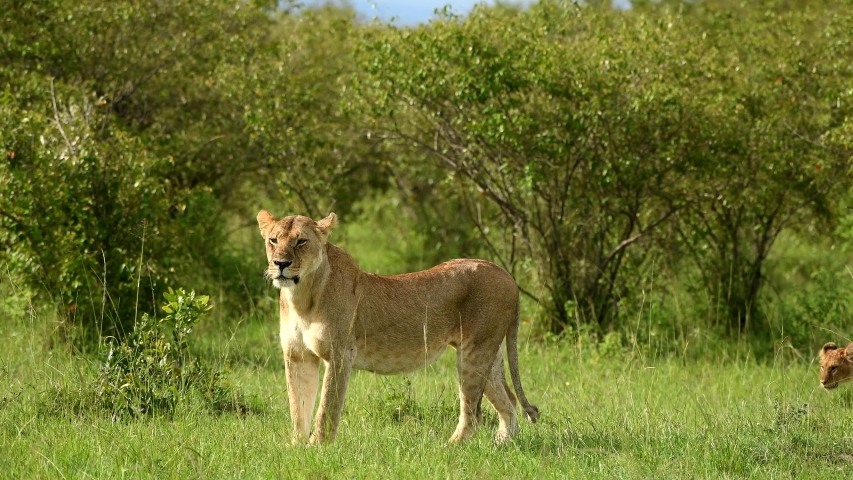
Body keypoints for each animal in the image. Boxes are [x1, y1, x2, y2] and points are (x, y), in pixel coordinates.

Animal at [257, 211, 539, 445]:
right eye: (273, 240)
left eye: (301, 242)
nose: (280, 264)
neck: (301, 297)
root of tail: (506, 274)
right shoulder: (298, 356)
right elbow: (298, 407)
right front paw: (296, 447)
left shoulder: (339, 354)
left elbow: (326, 407)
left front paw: (319, 448)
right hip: (490, 352)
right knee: (508, 401)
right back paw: (502, 445)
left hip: (474, 353)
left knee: (473, 413)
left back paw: (447, 448)